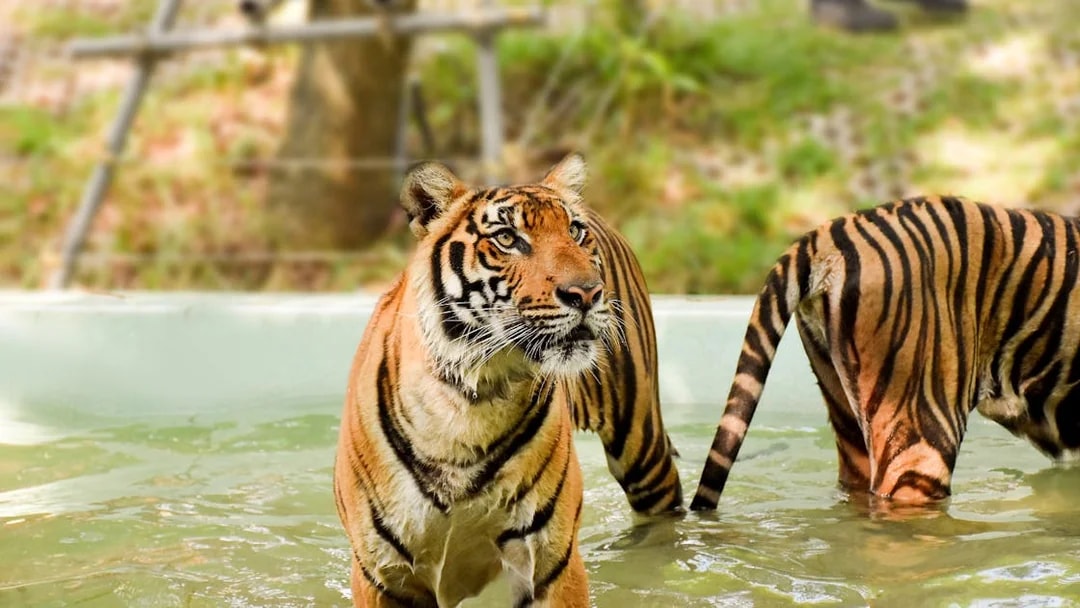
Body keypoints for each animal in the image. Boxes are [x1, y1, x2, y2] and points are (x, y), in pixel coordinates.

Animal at [333, 154, 682, 607]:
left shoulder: (552, 561)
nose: (587, 294)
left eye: (574, 231)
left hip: (640, 441)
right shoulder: (382, 574)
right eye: (507, 238)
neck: (468, 402)